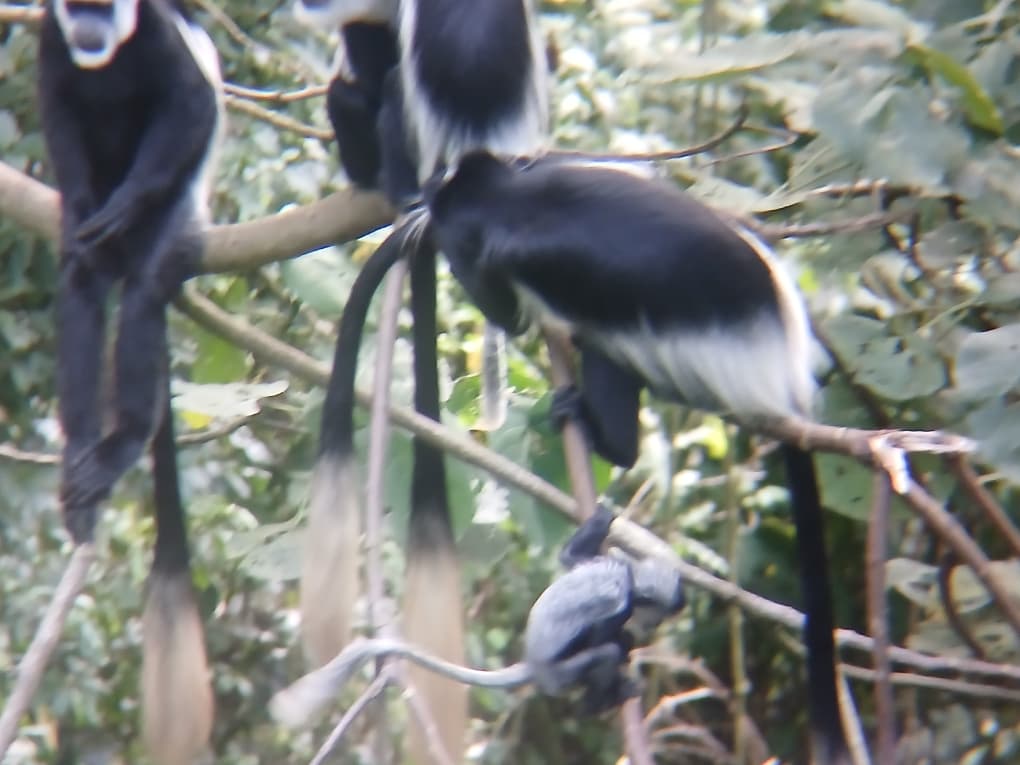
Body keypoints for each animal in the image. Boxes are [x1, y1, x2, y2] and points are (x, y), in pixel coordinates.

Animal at [270, 504, 684, 727]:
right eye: (659, 618)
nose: (654, 626)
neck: (632, 576)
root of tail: (532, 664)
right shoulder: (622, 597)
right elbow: (603, 631)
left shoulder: (602, 563)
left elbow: (569, 558)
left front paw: (602, 519)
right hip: (558, 675)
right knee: (605, 652)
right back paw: (596, 700)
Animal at [421, 150, 851, 765]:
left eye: (456, 250)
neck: (518, 200)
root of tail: (785, 378)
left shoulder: (506, 255)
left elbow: (508, 307)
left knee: (607, 355)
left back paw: (597, 427)